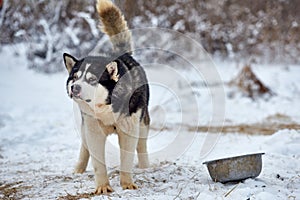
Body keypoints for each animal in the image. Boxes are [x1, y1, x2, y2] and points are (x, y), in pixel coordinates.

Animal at [62, 0, 150, 194]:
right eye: (75, 77)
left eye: (92, 79)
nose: (74, 88)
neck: (107, 107)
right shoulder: (93, 130)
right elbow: (97, 162)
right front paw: (102, 186)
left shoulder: (129, 130)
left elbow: (127, 158)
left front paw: (127, 183)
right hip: (86, 127)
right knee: (84, 146)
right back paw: (79, 168)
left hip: (142, 123)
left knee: (141, 145)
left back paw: (146, 166)